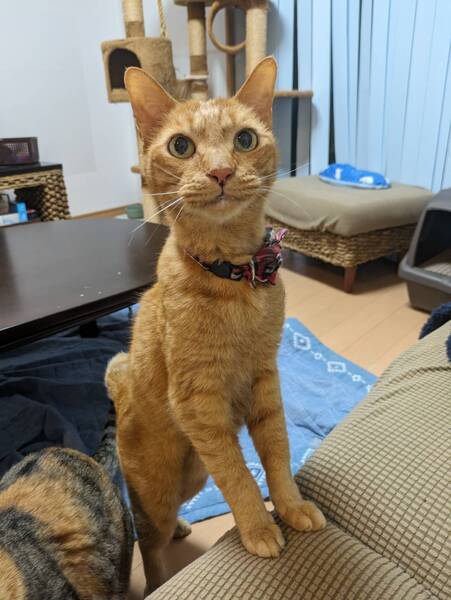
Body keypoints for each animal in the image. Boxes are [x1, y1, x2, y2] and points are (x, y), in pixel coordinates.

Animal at [105, 56, 326, 594]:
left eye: (245, 139)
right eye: (181, 146)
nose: (222, 170)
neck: (235, 278)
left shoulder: (266, 381)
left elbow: (277, 456)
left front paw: (290, 507)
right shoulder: (199, 404)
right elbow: (239, 475)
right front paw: (259, 528)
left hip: (193, 476)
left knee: (162, 525)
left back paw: (187, 526)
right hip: (161, 487)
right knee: (149, 538)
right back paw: (158, 578)